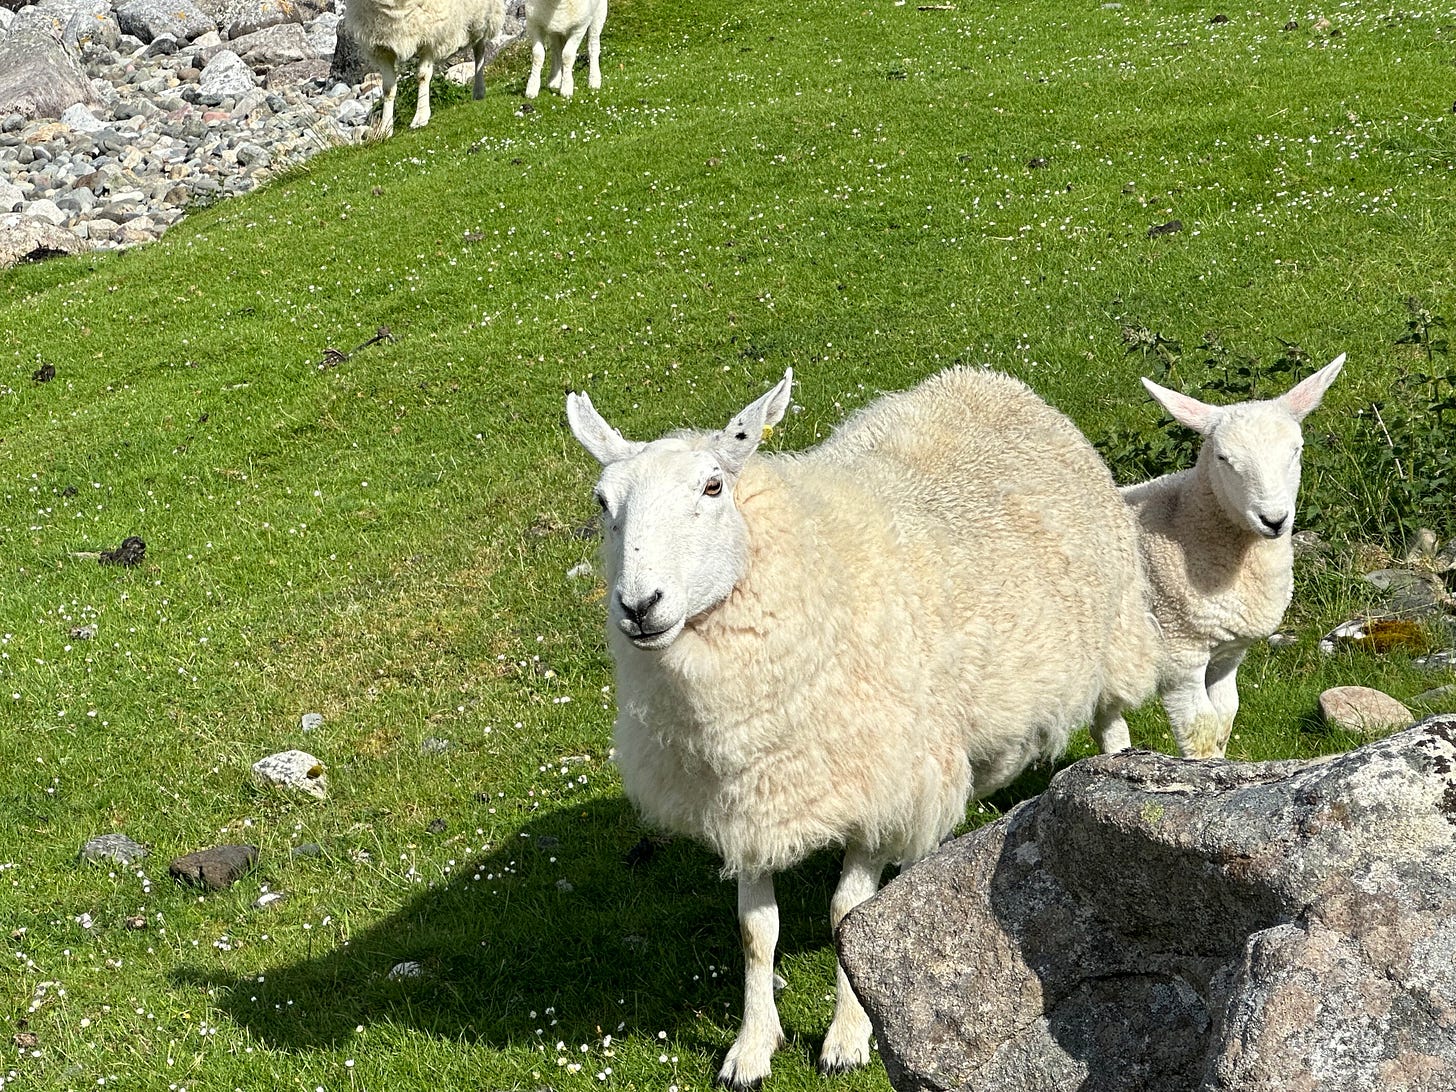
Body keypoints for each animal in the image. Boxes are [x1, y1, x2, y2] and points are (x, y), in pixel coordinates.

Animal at [342, 0, 506, 137]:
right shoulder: (382, 47)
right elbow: (388, 89)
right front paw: (385, 129)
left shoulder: (429, 35)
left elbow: (422, 76)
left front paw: (420, 117)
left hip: (482, 15)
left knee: (479, 48)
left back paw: (479, 90)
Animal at [567, 365, 1158, 1089]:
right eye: (603, 502)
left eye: (712, 487)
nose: (639, 605)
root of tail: (987, 379)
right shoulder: (752, 796)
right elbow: (755, 931)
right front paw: (752, 1045)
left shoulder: (880, 781)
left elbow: (848, 916)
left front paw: (849, 1037)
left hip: (1113, 632)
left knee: (1112, 722)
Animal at [1100, 356, 1351, 762]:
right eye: (1223, 458)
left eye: (1296, 449)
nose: (1274, 520)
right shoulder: (1179, 653)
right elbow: (1200, 729)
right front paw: (1204, 772)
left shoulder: (1228, 654)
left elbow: (1226, 715)